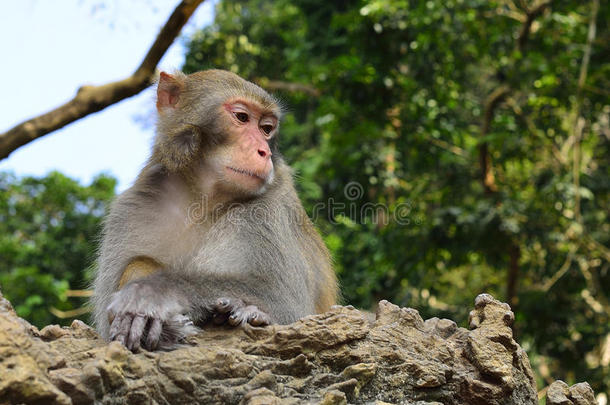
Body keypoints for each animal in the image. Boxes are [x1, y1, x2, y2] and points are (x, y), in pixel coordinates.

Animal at [92, 69, 334, 350]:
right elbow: (105, 325)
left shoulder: (271, 207)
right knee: (138, 263)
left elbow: (286, 301)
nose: (263, 152)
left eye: (266, 129)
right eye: (242, 117)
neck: (201, 199)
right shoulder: (133, 206)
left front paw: (152, 293)